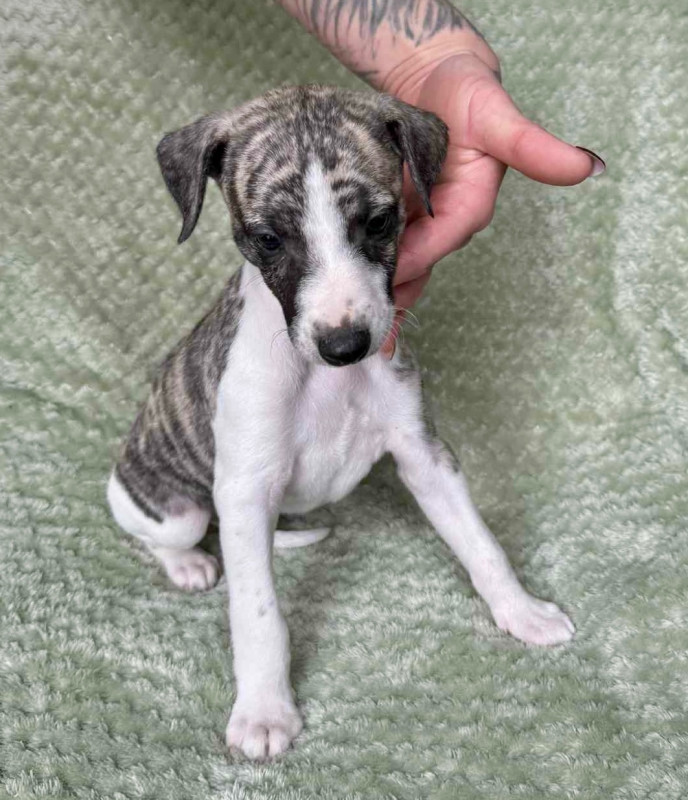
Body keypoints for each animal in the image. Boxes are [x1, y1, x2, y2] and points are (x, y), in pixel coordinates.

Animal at [107, 85, 574, 760]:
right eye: (268, 239)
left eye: (378, 223)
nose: (345, 345)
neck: (326, 381)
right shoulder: (246, 489)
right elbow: (258, 614)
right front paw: (265, 711)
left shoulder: (424, 453)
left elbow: (480, 542)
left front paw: (522, 611)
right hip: (177, 506)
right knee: (164, 534)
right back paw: (189, 564)